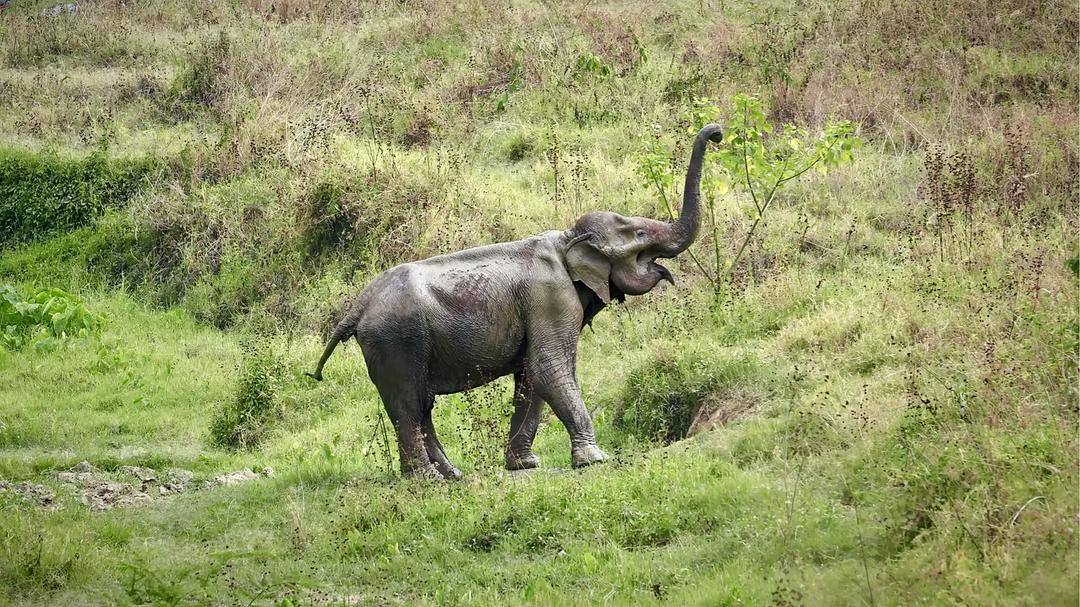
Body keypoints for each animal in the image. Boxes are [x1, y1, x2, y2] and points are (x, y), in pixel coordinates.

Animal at [308, 123, 721, 475]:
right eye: (639, 234)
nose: (717, 133)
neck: (565, 238)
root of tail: (358, 305)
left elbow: (532, 376)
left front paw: (525, 465)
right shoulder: (551, 297)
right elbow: (548, 367)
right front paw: (595, 459)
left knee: (419, 406)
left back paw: (451, 476)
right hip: (397, 341)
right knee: (409, 406)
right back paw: (426, 480)